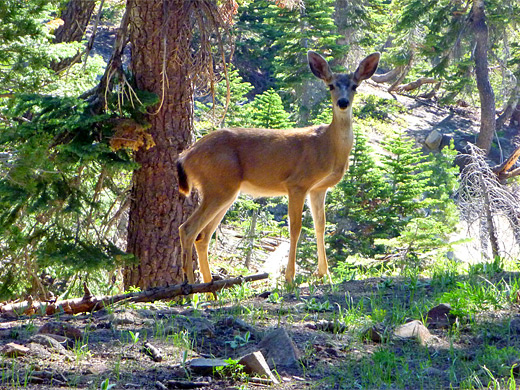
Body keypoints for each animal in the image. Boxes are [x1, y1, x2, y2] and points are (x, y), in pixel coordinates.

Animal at [178, 51, 378, 284]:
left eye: (355, 86)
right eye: (331, 86)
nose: (343, 102)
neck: (328, 146)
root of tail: (186, 156)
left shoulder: (319, 188)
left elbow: (320, 226)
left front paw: (324, 274)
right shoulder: (297, 183)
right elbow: (295, 228)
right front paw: (290, 277)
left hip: (225, 191)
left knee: (203, 236)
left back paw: (210, 286)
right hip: (217, 185)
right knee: (188, 229)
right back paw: (190, 286)